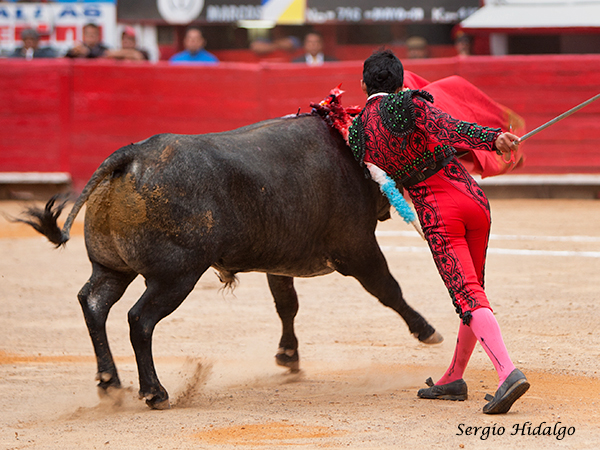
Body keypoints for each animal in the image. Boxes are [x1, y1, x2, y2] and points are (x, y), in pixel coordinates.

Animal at [19, 111, 440, 408]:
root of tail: (132, 156)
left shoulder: (280, 261)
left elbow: (286, 304)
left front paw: (288, 356)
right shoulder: (357, 248)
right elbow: (389, 289)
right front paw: (427, 330)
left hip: (111, 268)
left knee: (93, 304)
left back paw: (110, 384)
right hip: (176, 277)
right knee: (139, 319)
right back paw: (155, 392)